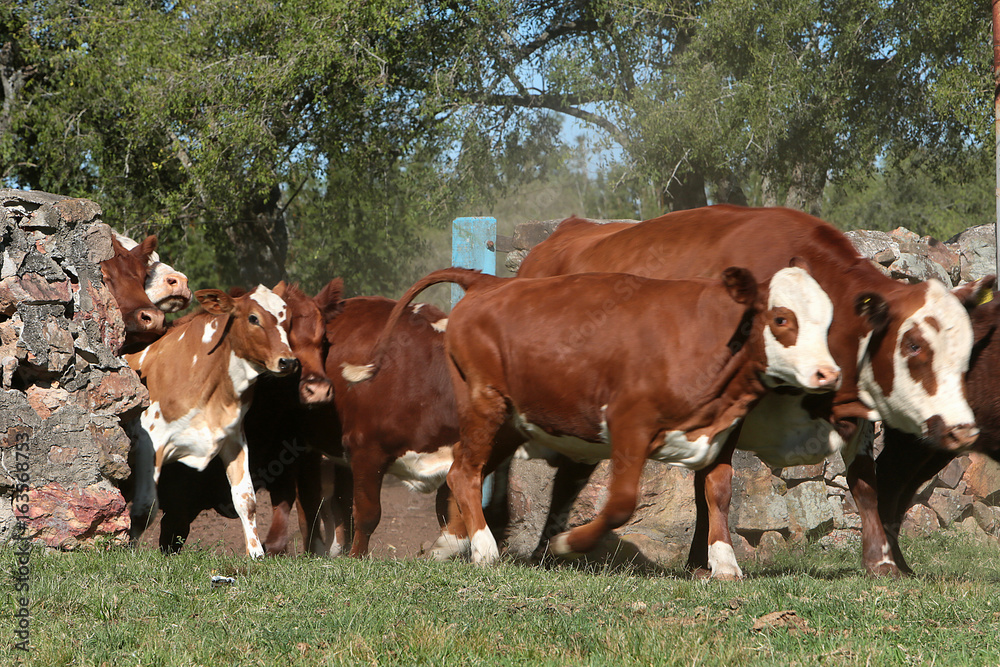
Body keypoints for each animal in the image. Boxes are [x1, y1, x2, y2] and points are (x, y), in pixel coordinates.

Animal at [126, 286, 296, 560]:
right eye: (253, 318)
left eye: (287, 319)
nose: (288, 361)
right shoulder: (149, 441)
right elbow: (145, 507)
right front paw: (128, 549)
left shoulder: (234, 439)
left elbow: (246, 499)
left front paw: (256, 553)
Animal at [346, 264, 844, 572]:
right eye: (782, 318)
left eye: (827, 320)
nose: (828, 373)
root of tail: (487, 283)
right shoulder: (629, 425)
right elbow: (622, 503)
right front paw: (568, 544)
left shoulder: (723, 432)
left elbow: (719, 494)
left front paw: (724, 561)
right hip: (484, 402)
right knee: (465, 472)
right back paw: (485, 548)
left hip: (511, 419)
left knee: (461, 470)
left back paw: (450, 544)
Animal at [516, 206, 992, 576]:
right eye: (913, 345)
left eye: (968, 348)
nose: (963, 431)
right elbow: (717, 486)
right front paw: (721, 561)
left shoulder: (852, 413)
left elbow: (865, 484)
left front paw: (882, 562)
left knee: (570, 476)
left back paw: (547, 550)